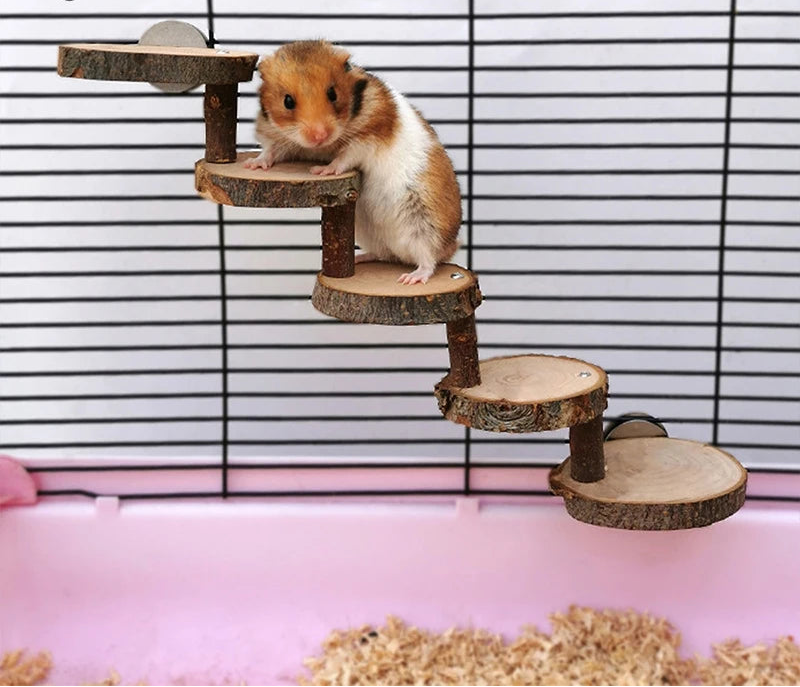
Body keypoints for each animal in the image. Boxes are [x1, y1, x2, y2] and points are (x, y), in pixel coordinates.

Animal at [244, 40, 462, 285]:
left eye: (333, 93)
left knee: (429, 259)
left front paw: (321, 170)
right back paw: (359, 259)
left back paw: (410, 278)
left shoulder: (366, 139)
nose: (319, 135)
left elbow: (344, 157)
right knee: (383, 254)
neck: (321, 147)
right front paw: (252, 164)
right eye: (287, 101)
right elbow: (271, 152)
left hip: (425, 225)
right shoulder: (282, 139)